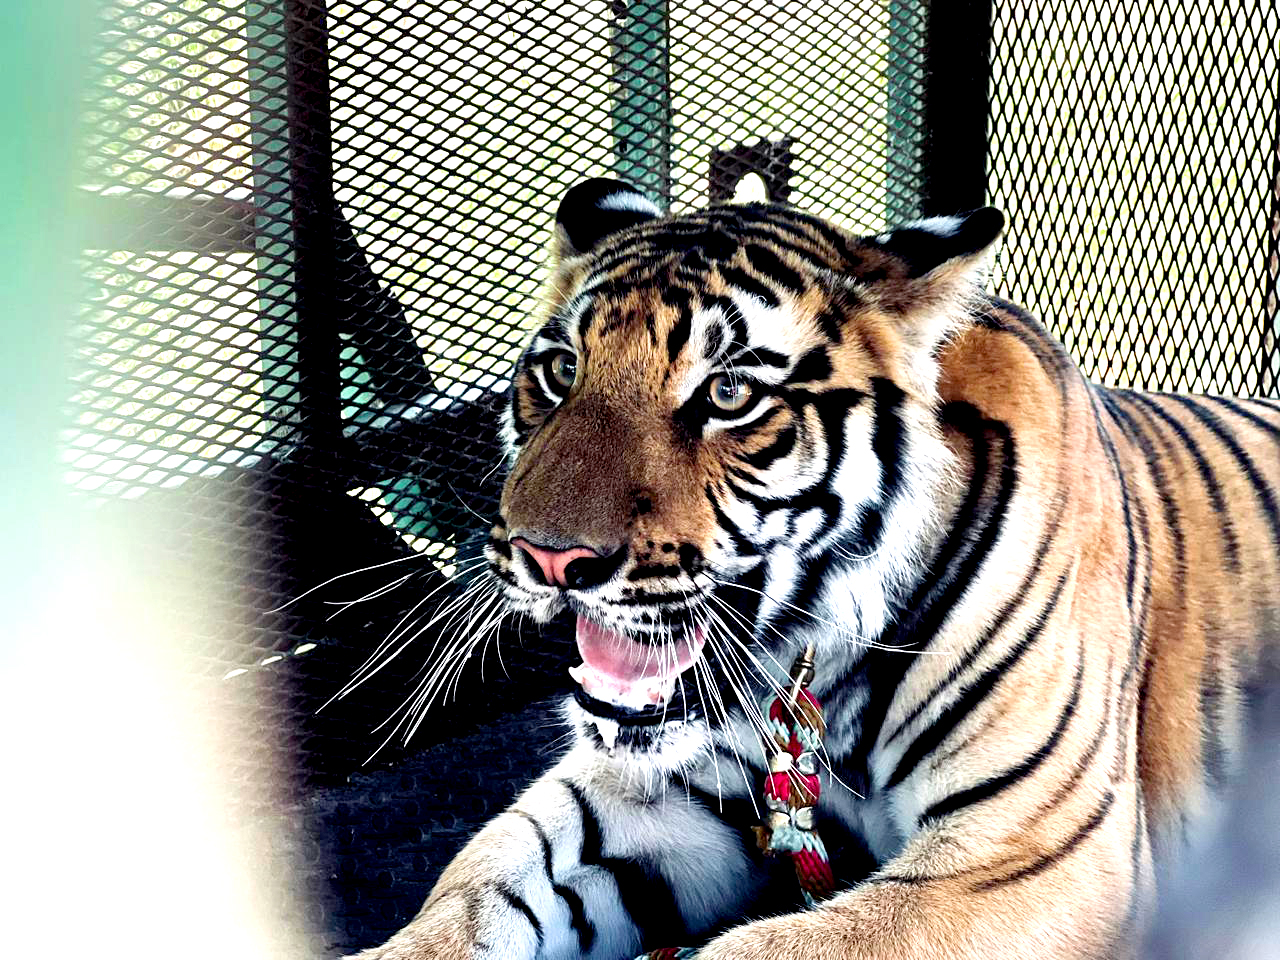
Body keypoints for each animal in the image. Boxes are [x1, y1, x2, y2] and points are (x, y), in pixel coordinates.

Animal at [352, 178, 1280, 960]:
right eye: (560, 371)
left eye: (727, 396)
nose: (548, 555)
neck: (812, 664)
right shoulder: (655, 795)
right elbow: (479, 887)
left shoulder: (1035, 854)